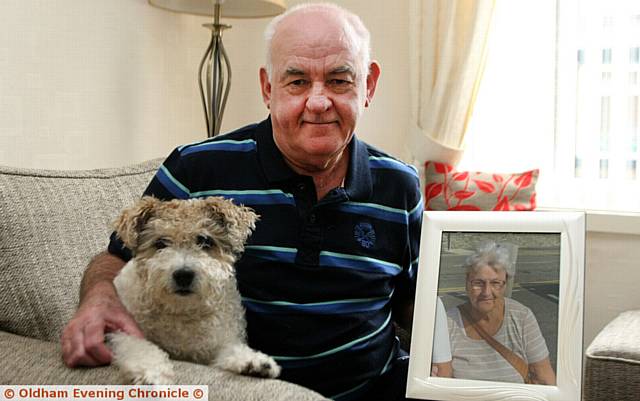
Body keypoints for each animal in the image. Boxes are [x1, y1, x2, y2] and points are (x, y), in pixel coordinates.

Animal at [105, 195, 280, 382]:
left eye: (204, 241)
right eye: (160, 243)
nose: (183, 275)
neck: (181, 312)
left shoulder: (215, 344)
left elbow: (229, 350)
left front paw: (254, 362)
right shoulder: (121, 330)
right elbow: (138, 346)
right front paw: (151, 371)